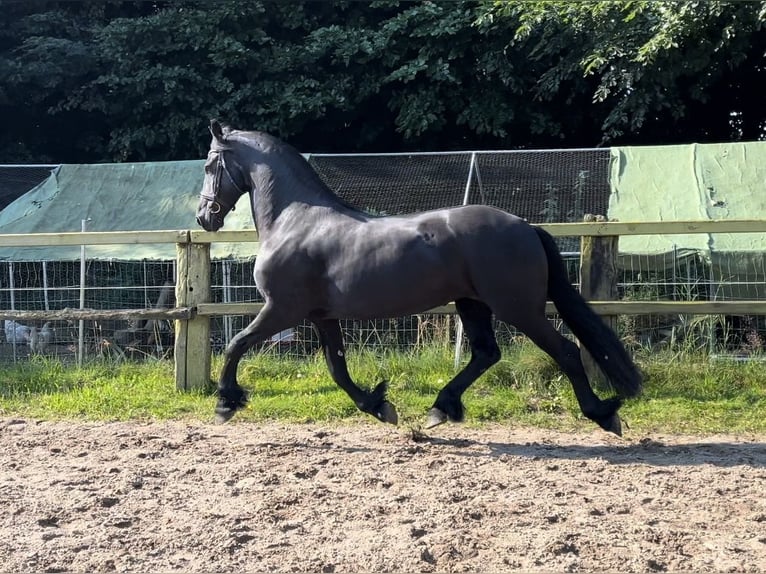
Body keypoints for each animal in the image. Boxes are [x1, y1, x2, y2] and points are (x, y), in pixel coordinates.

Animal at [196, 121, 640, 436]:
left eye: (208, 164)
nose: (204, 217)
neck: (295, 220)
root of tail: (526, 226)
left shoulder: (282, 309)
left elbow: (236, 344)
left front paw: (226, 403)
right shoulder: (322, 316)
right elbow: (337, 368)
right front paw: (378, 405)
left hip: (518, 308)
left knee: (565, 351)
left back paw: (603, 413)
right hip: (472, 304)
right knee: (486, 353)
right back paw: (441, 408)